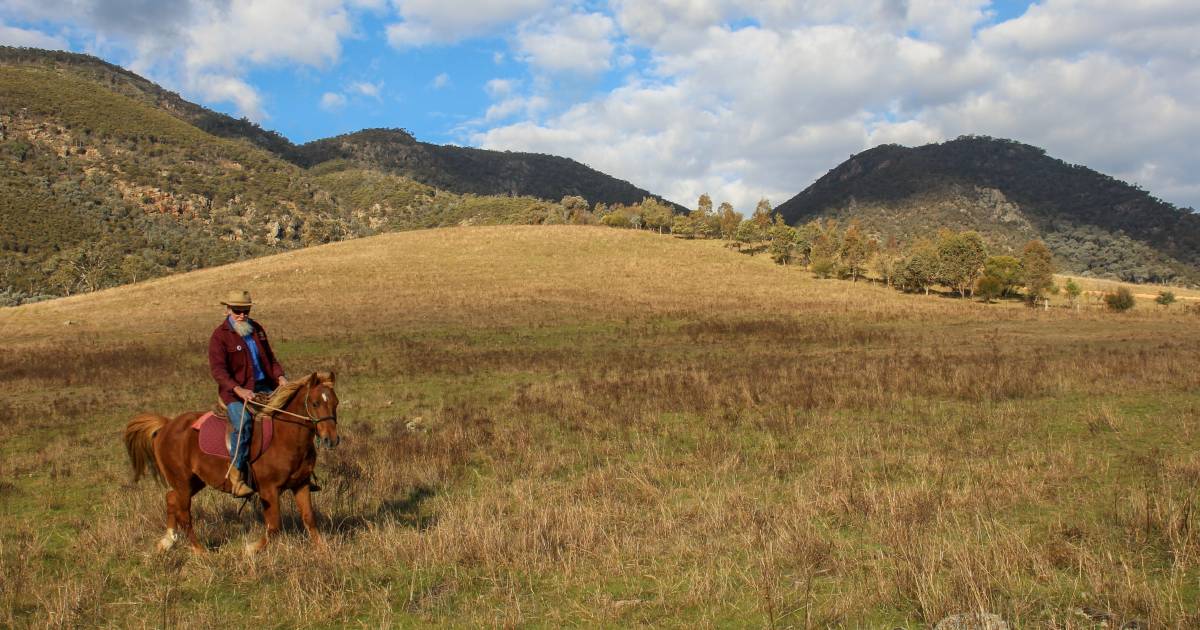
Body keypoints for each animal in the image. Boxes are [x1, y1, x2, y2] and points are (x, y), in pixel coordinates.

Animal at [124, 372, 340, 552]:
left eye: (335, 403)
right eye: (314, 403)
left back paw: (167, 541)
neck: (285, 437)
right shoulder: (269, 490)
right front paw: (251, 549)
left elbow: (309, 519)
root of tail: (167, 425)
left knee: (171, 499)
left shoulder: (301, 484)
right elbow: (274, 526)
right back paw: (199, 552)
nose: (331, 439)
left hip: (194, 481)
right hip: (183, 482)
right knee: (184, 514)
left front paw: (323, 551)